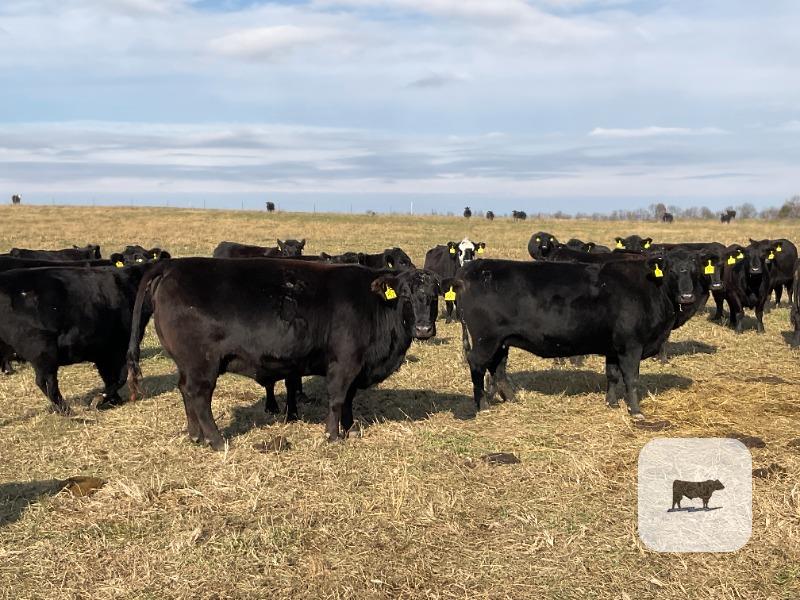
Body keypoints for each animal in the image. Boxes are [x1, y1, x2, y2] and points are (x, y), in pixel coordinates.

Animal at [0, 264, 154, 413]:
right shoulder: (117, 348)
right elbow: (120, 377)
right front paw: (101, 399)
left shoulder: (102, 352)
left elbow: (109, 376)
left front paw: (113, 400)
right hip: (42, 350)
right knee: (46, 382)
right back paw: (66, 410)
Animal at [126, 259, 441, 448]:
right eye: (405, 295)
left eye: (435, 295)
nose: (424, 328)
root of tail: (172, 265)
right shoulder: (345, 362)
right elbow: (338, 399)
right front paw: (333, 435)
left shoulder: (357, 365)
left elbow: (350, 398)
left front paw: (350, 428)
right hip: (202, 364)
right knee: (199, 396)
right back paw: (216, 440)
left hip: (187, 364)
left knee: (185, 391)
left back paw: (195, 435)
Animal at [451, 255, 696, 418]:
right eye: (671, 270)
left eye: (695, 270)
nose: (687, 295)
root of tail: (472, 268)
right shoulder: (631, 346)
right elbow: (631, 379)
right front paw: (635, 411)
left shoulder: (613, 347)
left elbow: (612, 375)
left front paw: (611, 403)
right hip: (486, 340)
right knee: (477, 365)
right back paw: (483, 405)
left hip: (501, 341)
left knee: (498, 368)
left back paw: (512, 399)